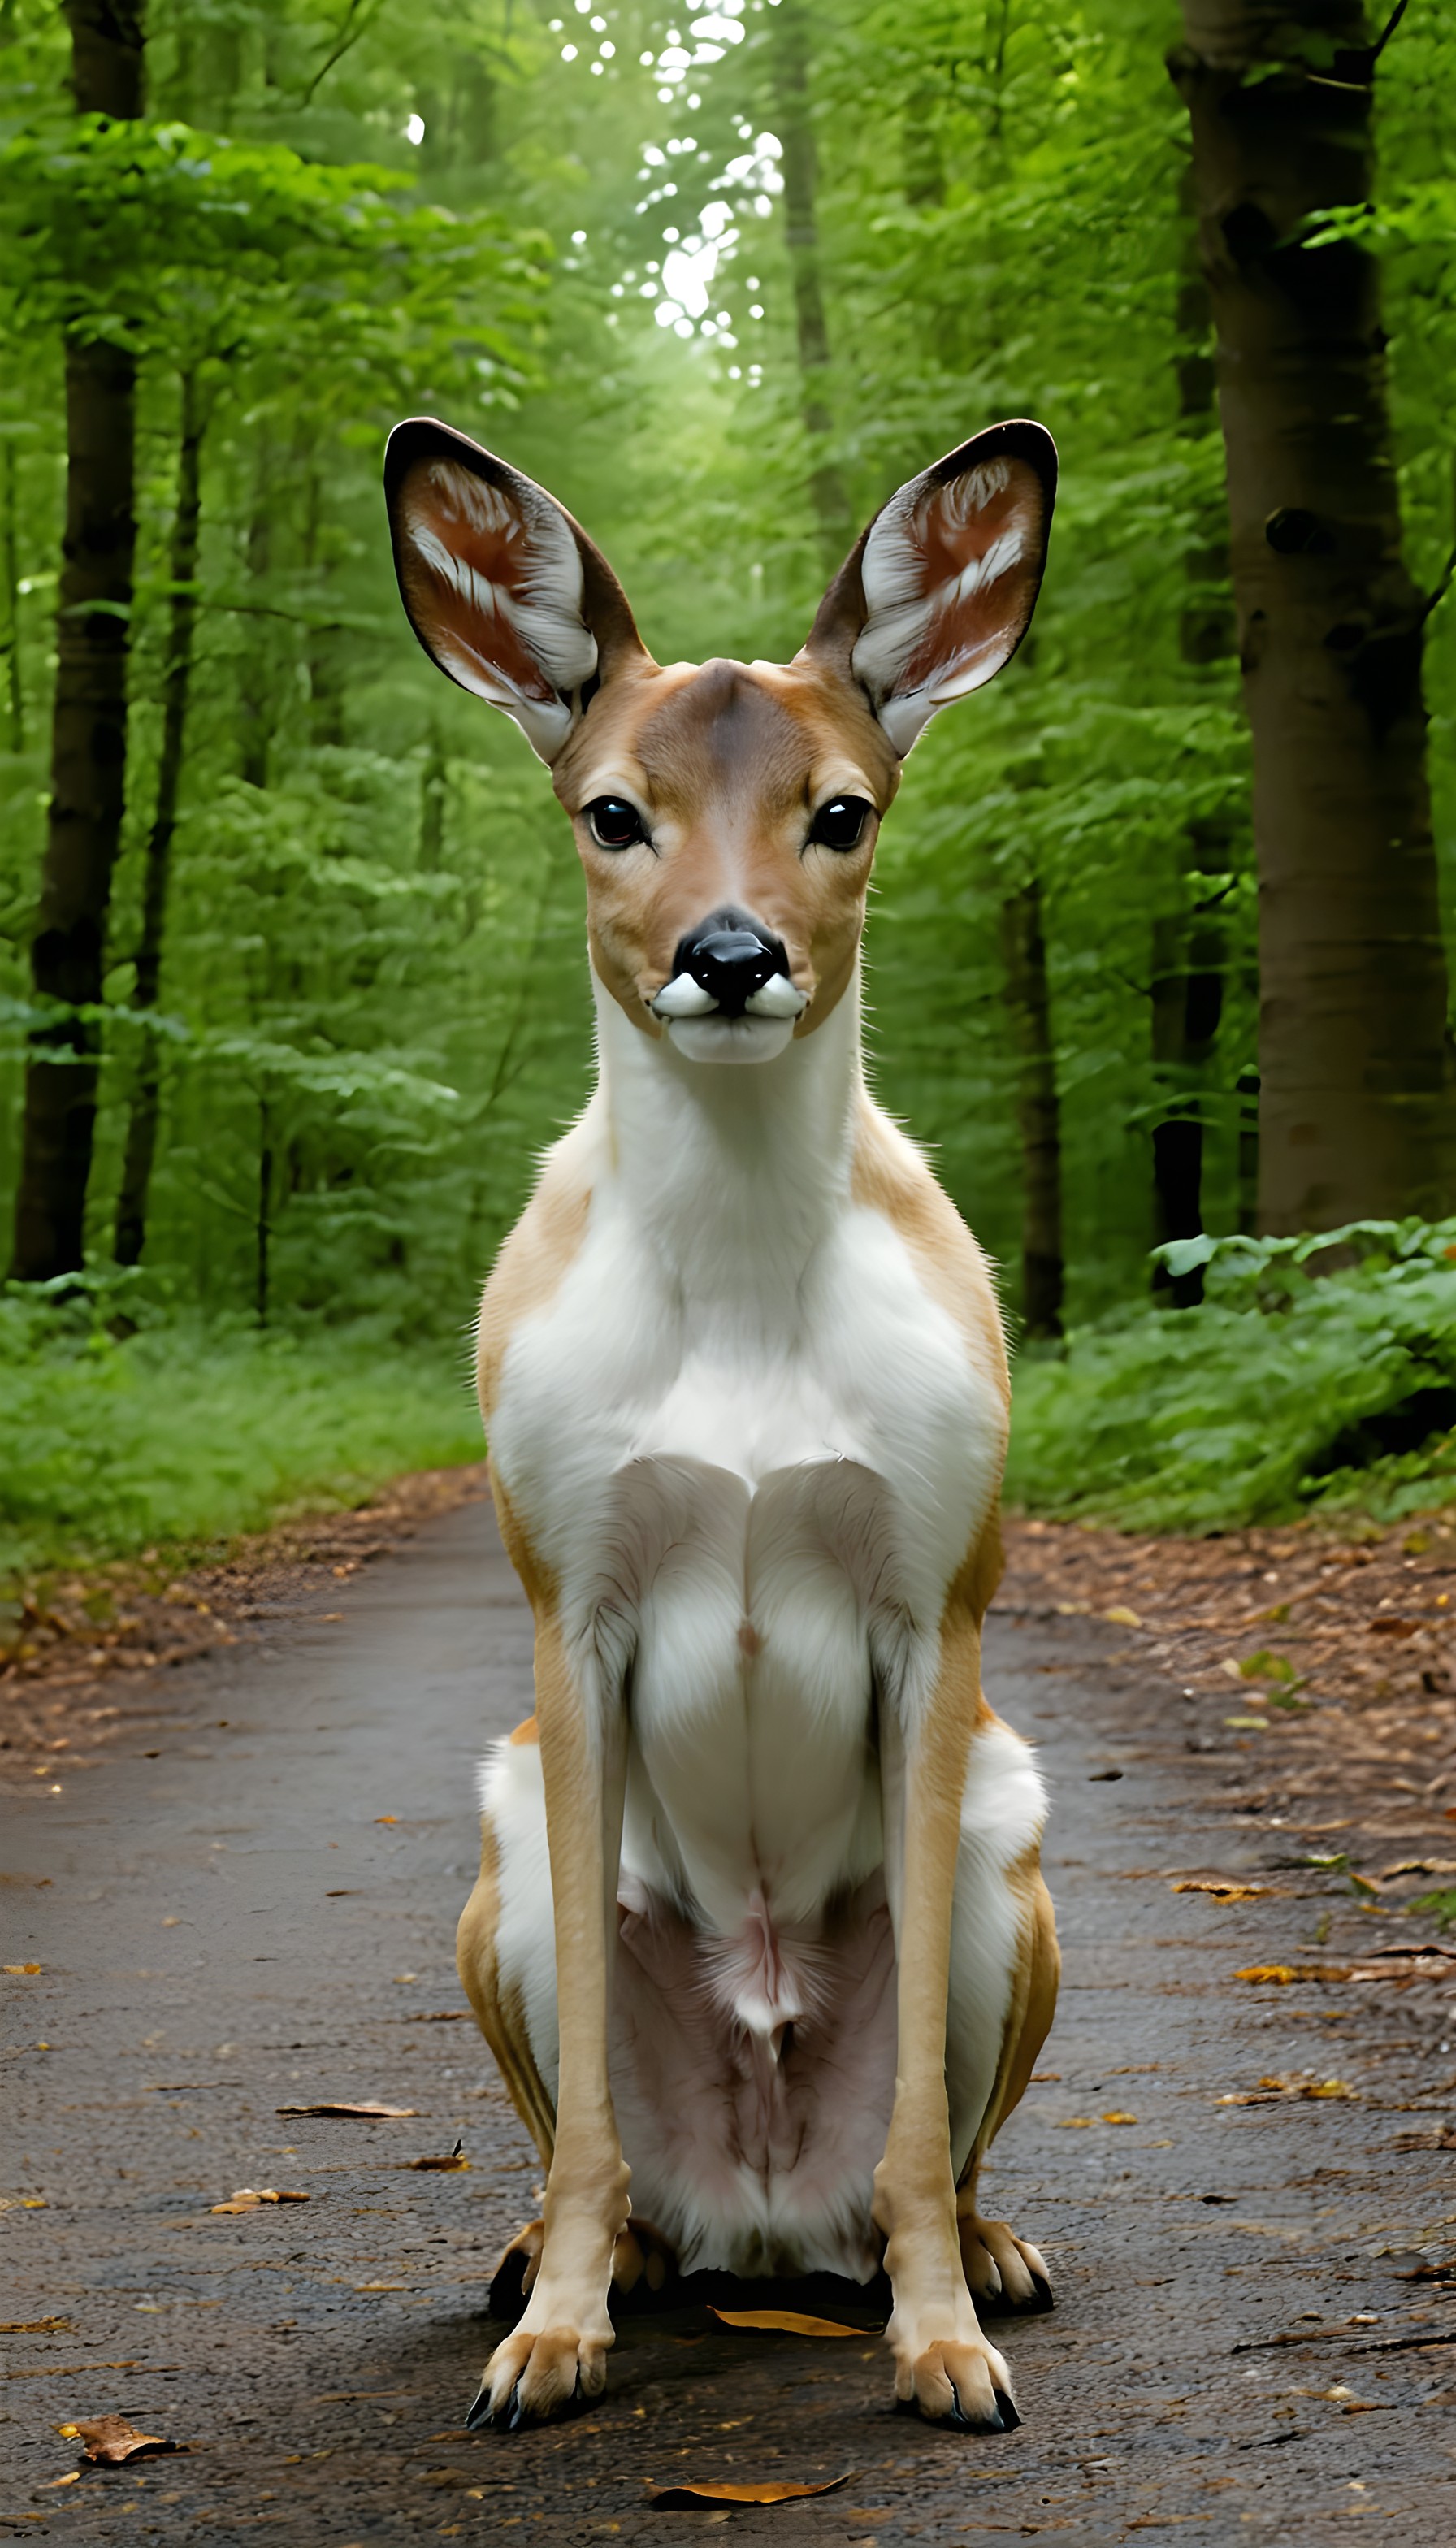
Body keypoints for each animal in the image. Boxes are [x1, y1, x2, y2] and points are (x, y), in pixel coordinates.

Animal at [384, 413, 1060, 2437]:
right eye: (613, 810)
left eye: (841, 808)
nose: (734, 952)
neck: (746, 1291)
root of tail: (764, 2212)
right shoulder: (568, 1597)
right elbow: (588, 2120)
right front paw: (548, 2339)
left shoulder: (936, 1603)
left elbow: (913, 2114)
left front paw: (943, 2343)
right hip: (506, 1863)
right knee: (592, 2148)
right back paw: (572, 2262)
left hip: (1010, 1850)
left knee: (947, 2139)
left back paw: (981, 2254)